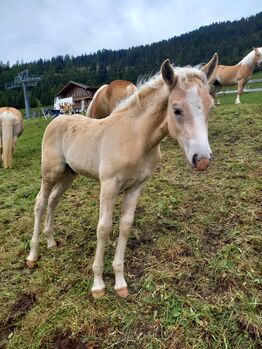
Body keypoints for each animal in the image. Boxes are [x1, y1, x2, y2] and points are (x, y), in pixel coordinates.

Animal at [26, 53, 218, 296]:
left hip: (69, 174)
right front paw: (98, 284)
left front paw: (120, 282)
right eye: (176, 109)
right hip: (51, 172)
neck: (135, 138)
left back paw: (51, 242)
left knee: (53, 200)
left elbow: (125, 225)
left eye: (211, 107)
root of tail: (57, 119)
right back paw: (32, 255)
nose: (202, 160)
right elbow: (104, 228)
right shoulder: (109, 186)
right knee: (40, 203)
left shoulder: (137, 186)